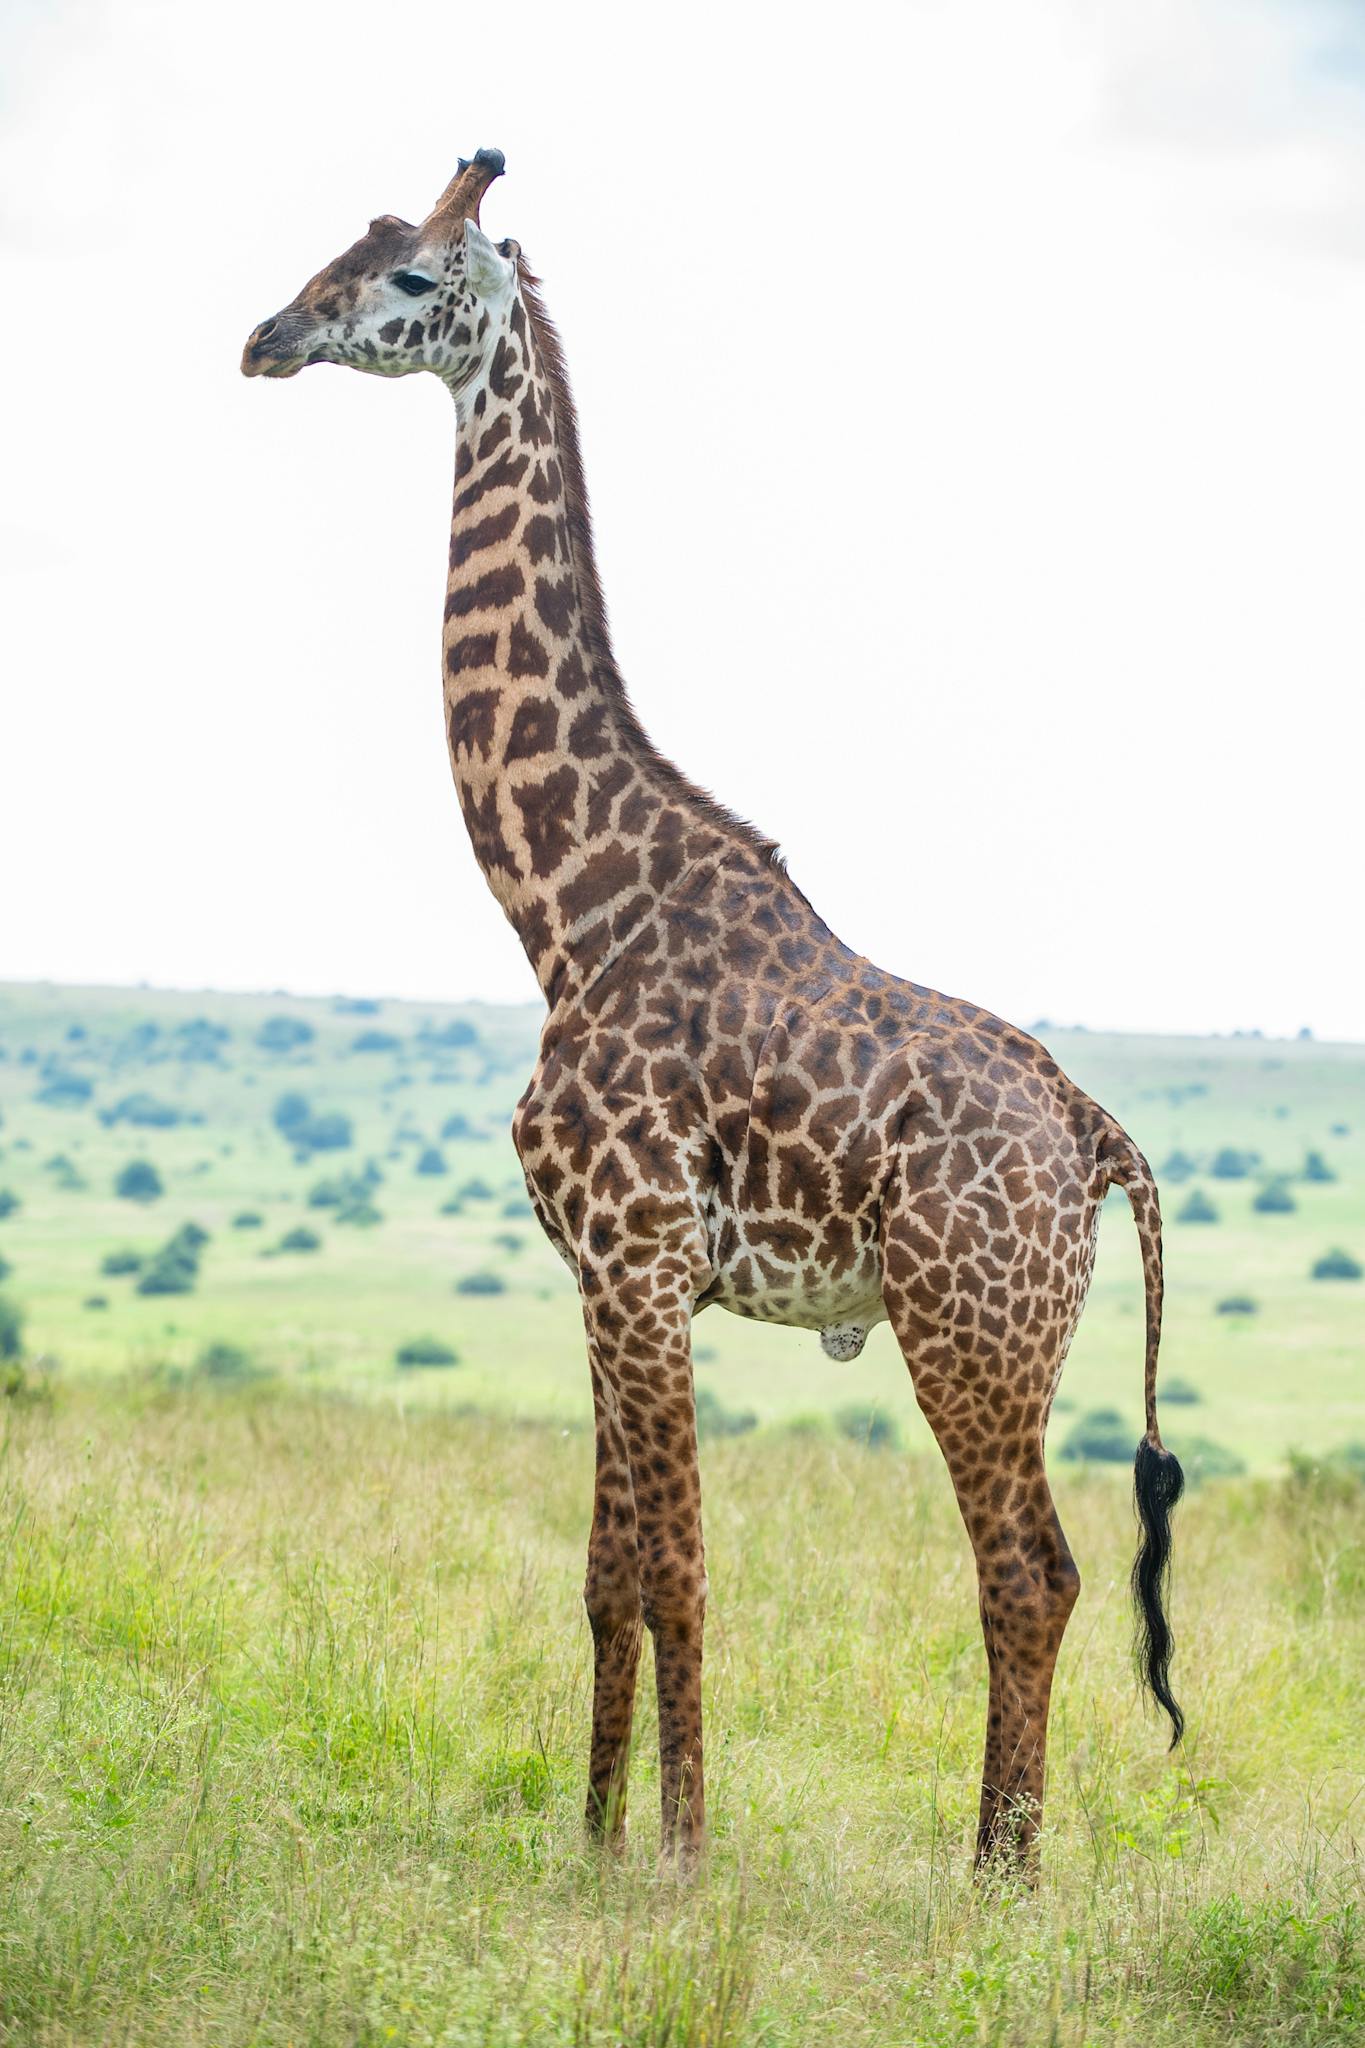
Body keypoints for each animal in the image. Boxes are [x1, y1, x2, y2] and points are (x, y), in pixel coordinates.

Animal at [242, 149, 1186, 1876]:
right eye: (338, 248)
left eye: (408, 278)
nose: (265, 336)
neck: (564, 910)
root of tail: (1096, 1136)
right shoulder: (605, 1276)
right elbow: (607, 1572)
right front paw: (597, 1839)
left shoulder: (639, 1253)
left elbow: (679, 1566)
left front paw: (682, 1860)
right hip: (992, 1335)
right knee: (1038, 1571)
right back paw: (994, 1859)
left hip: (969, 1329)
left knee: (1033, 1569)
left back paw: (1000, 1877)